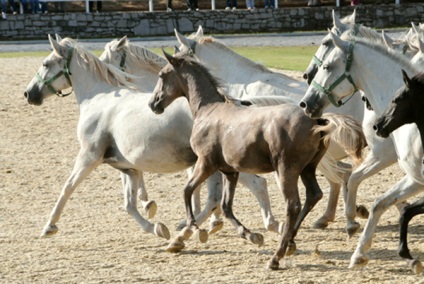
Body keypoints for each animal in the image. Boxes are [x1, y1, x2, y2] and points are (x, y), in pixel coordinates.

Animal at [148, 50, 364, 270]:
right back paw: (291, 241)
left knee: (293, 205)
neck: (208, 110)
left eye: (162, 75)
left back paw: (276, 256)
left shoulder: (205, 163)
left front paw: (193, 227)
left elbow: (187, 190)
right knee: (314, 195)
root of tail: (317, 121)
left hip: (286, 170)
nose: (153, 104)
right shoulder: (230, 171)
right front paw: (250, 235)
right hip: (308, 168)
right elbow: (226, 206)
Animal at [300, 33, 424, 272]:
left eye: (327, 66)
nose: (306, 103)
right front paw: (359, 248)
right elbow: (375, 198)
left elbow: (356, 179)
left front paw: (353, 220)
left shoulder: (386, 157)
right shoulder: (411, 176)